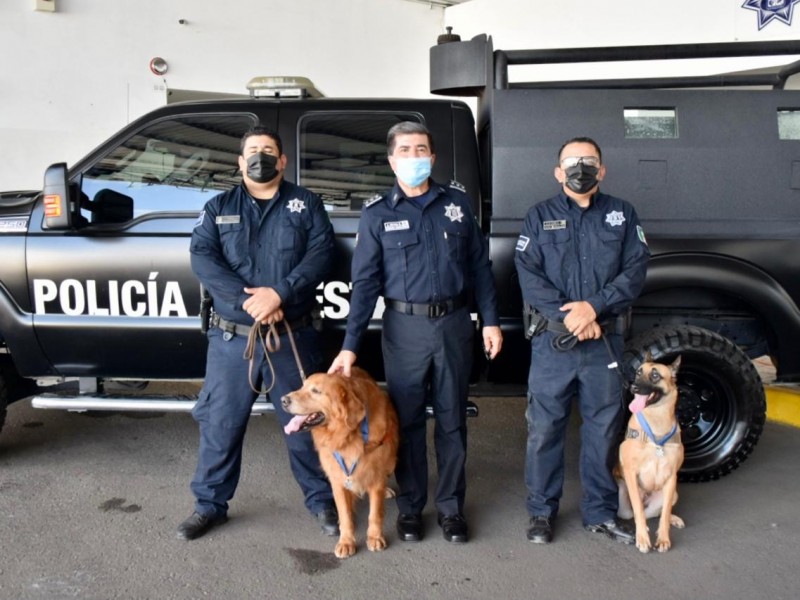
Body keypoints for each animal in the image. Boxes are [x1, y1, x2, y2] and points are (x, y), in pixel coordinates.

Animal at [282, 368, 400, 560]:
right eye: (302, 386)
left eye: (316, 391)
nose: (283, 400)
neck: (348, 435)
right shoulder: (337, 479)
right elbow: (345, 515)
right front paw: (346, 542)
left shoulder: (375, 476)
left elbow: (375, 513)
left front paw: (375, 537)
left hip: (391, 460)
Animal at [620, 354, 688, 556]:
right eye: (638, 372)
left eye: (655, 375)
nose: (633, 387)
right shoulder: (631, 473)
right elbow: (638, 511)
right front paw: (642, 537)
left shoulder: (672, 477)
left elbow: (664, 515)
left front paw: (663, 538)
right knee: (637, 512)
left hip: (673, 493)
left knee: (660, 512)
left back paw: (673, 519)